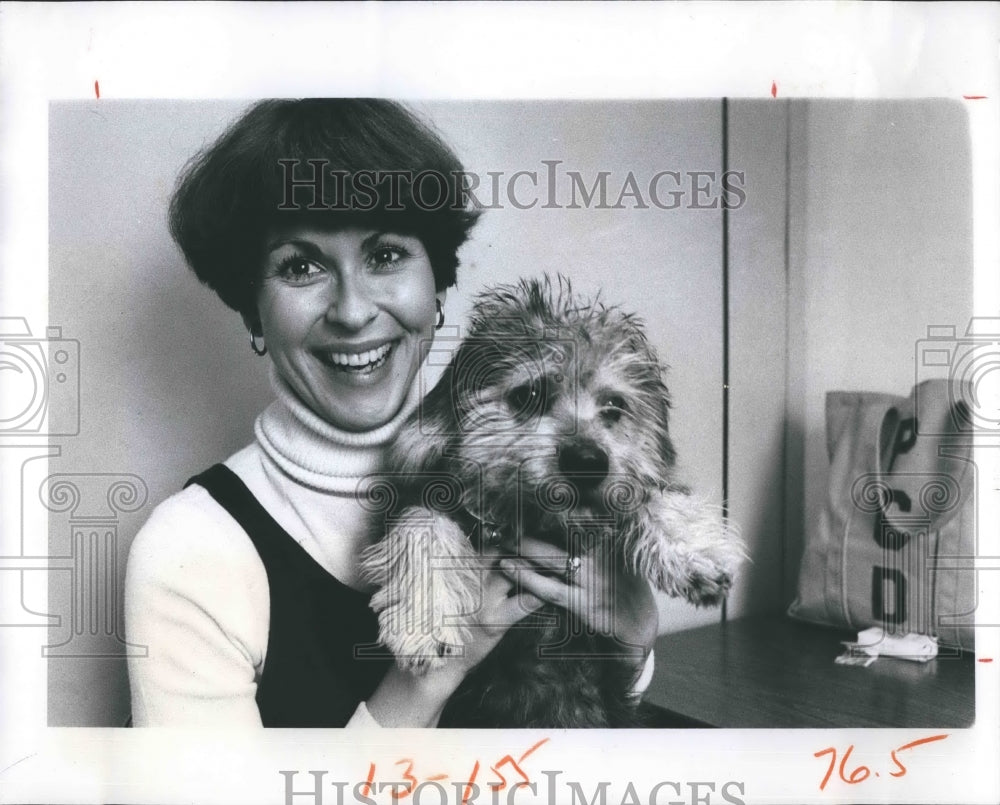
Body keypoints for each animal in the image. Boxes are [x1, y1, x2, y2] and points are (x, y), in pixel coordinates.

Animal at [360, 276, 744, 728]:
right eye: (529, 393)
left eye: (614, 405)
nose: (588, 462)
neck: (541, 523)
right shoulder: (425, 497)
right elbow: (421, 522)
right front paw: (423, 622)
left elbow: (647, 493)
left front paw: (697, 553)